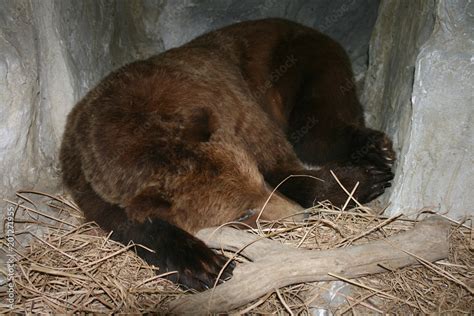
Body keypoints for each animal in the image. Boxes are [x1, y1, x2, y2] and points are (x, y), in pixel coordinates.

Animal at [60, 17, 396, 292]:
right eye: (243, 214)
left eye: (259, 181)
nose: (298, 216)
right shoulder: (87, 177)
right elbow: (130, 224)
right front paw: (205, 265)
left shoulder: (227, 104)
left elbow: (279, 161)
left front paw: (361, 181)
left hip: (304, 58)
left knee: (316, 124)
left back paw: (376, 150)